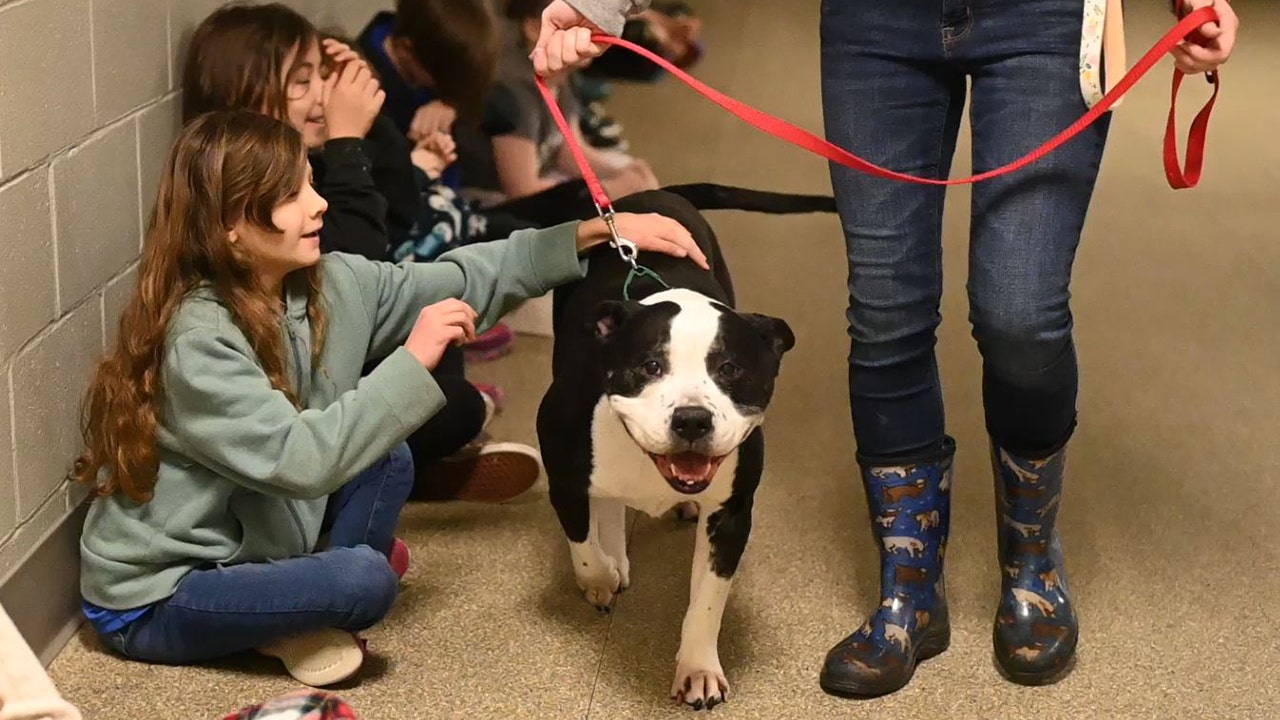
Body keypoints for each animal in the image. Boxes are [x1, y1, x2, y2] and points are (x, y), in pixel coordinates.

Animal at [535, 185, 793, 707]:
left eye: (730, 370)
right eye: (649, 366)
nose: (692, 418)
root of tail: (656, 192)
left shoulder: (731, 515)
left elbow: (708, 603)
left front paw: (698, 669)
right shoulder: (563, 480)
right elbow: (585, 547)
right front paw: (602, 576)